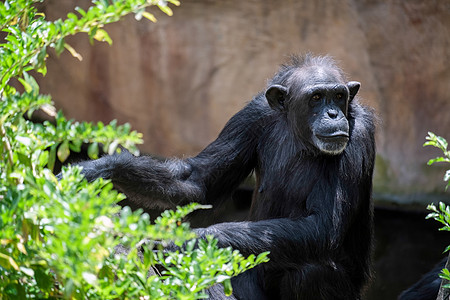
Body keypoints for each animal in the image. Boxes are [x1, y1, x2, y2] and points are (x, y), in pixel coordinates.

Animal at [74, 55, 376, 298]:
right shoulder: (250, 117)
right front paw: (98, 169)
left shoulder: (359, 133)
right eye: (316, 98)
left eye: (338, 96)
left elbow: (322, 224)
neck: (299, 133)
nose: (333, 113)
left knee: (312, 271)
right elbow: (198, 181)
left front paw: (182, 243)